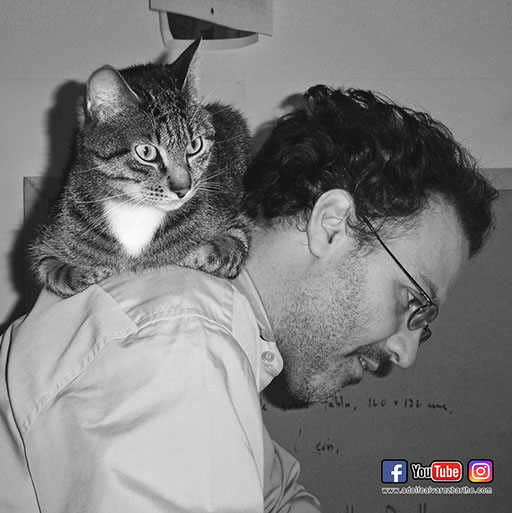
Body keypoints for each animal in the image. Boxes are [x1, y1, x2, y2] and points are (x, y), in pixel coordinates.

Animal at [30, 39, 252, 298]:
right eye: (146, 152)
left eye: (195, 145)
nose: (183, 189)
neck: (135, 209)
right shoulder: (48, 240)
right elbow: (56, 273)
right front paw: (94, 270)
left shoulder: (235, 224)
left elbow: (222, 251)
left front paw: (179, 253)